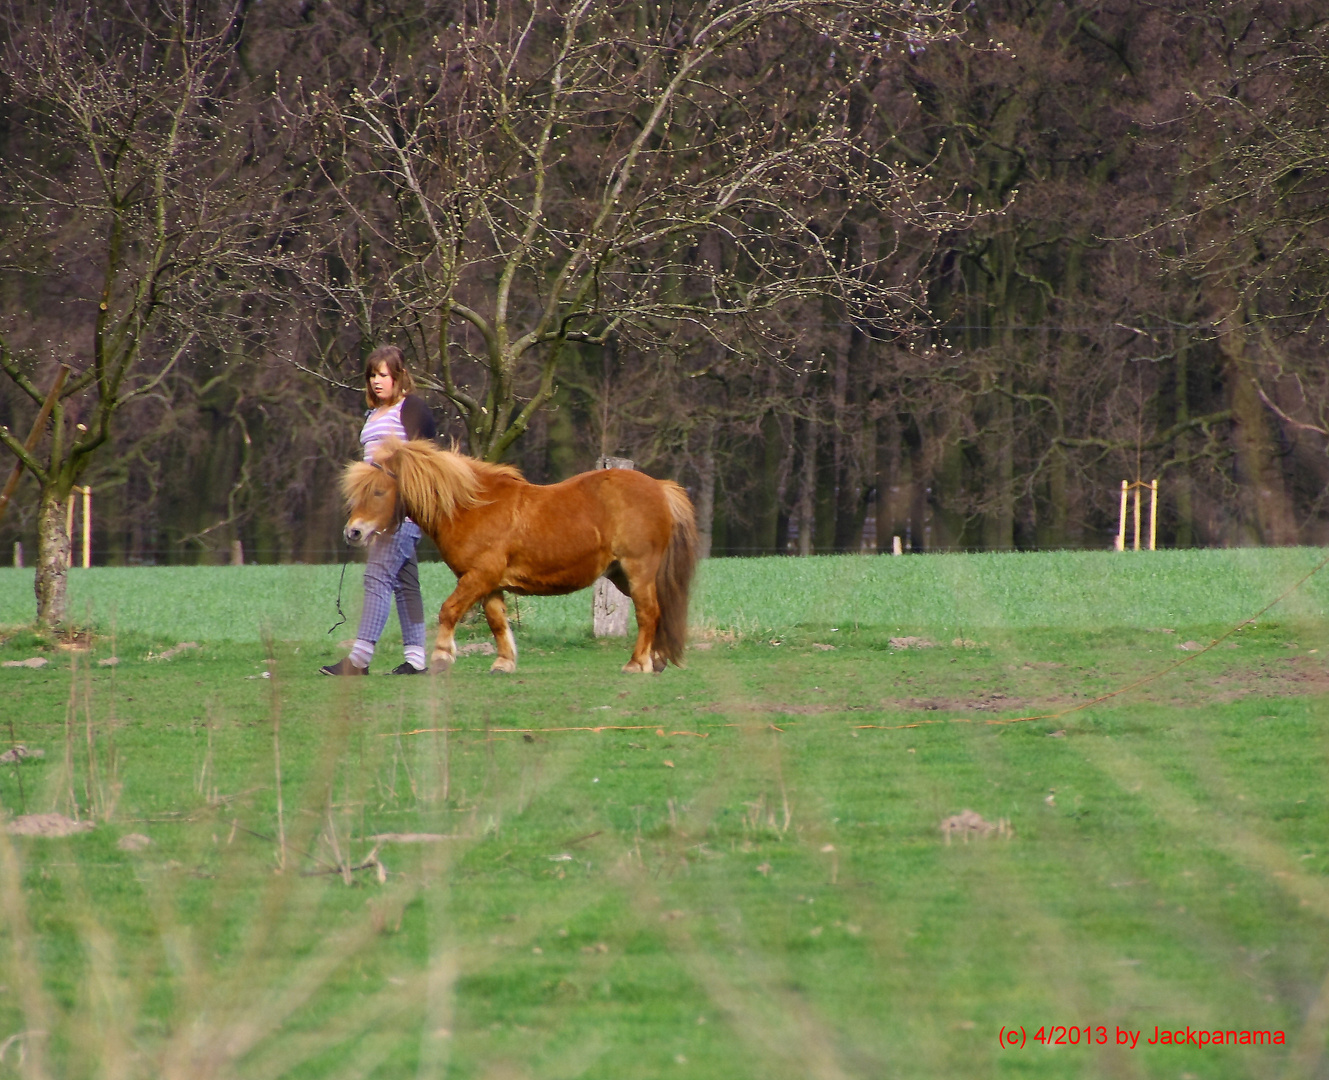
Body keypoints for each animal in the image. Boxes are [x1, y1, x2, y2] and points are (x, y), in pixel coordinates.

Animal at [337, 438, 701, 674]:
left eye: (379, 492)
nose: (353, 532)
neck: (473, 508)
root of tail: (659, 487)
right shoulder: (490, 584)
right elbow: (498, 622)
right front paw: (503, 662)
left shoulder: (478, 577)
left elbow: (449, 610)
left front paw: (441, 656)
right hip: (622, 575)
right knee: (657, 612)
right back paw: (656, 661)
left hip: (637, 570)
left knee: (648, 614)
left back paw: (636, 663)